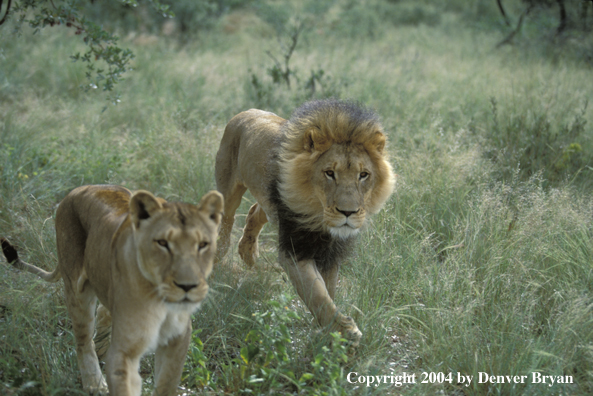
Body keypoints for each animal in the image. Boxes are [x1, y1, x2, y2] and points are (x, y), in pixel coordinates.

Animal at [1, 186, 223, 396]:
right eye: (162, 243)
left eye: (203, 245)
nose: (188, 286)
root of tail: (75, 191)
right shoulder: (124, 350)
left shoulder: (179, 338)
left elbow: (167, 383)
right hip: (76, 290)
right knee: (83, 341)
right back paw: (94, 384)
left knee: (103, 312)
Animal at [215, 98, 396, 344]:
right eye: (329, 173)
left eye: (363, 175)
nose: (348, 212)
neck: (320, 217)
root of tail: (246, 111)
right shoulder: (294, 249)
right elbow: (316, 292)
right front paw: (345, 332)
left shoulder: (331, 252)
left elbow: (328, 290)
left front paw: (325, 331)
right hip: (229, 188)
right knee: (226, 219)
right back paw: (218, 256)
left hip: (271, 200)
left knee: (255, 211)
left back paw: (248, 254)